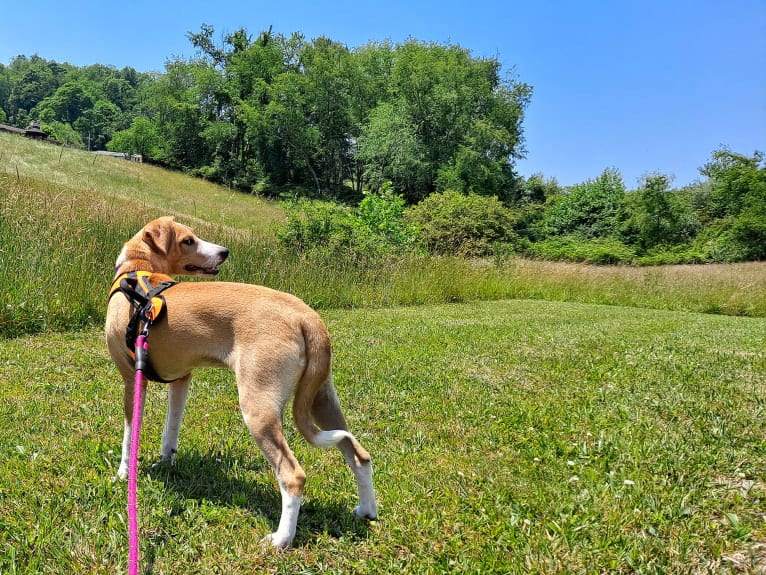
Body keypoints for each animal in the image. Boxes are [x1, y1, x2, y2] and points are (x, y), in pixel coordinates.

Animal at [105, 217, 380, 548]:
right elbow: (171, 428)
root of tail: (307, 317)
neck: (137, 271)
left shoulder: (132, 379)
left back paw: (281, 539)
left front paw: (123, 474)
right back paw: (367, 510)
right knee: (359, 454)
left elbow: (129, 437)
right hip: (322, 400)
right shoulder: (182, 379)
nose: (224, 252)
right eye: (188, 240)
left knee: (293, 475)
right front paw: (165, 461)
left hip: (258, 408)